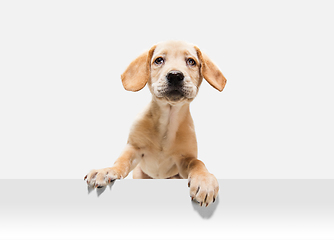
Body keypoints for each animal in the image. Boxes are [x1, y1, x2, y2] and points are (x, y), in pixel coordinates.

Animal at [85, 39, 228, 206]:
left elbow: (197, 163)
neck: (167, 121)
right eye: (158, 60)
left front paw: (204, 181)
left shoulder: (184, 160)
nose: (175, 75)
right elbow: (121, 161)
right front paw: (107, 170)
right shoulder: (134, 148)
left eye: (191, 61)